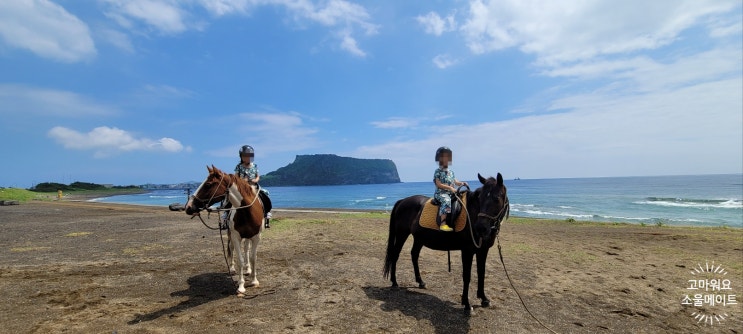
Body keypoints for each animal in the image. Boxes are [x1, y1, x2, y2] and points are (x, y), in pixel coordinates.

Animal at [185, 166, 264, 294]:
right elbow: (240, 259)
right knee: (231, 248)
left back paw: (248, 269)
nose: (188, 207)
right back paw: (232, 268)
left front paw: (254, 280)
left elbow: (253, 258)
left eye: (208, 184)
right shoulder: (236, 236)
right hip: (231, 234)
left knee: (246, 249)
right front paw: (241, 286)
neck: (248, 211)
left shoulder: (256, 237)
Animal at [384, 172, 512, 310]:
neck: (472, 214)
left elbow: (481, 273)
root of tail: (402, 201)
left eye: (496, 198)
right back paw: (394, 282)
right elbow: (467, 276)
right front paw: (467, 304)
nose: (480, 228)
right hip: (402, 234)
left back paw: (420, 282)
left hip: (419, 238)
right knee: (395, 255)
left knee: (414, 255)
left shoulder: (483, 250)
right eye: (481, 198)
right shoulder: (467, 251)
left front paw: (483, 298)